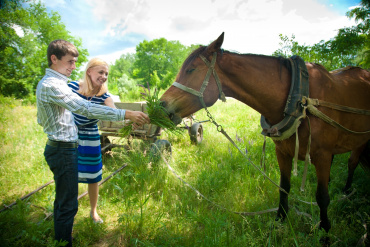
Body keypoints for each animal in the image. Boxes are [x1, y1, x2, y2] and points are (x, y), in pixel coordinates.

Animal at [160, 32, 370, 232]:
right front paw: (280, 221)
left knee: (352, 163)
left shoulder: (323, 156)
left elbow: (322, 197)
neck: (299, 100)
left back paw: (346, 192)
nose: (161, 105)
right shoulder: (283, 152)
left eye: (191, 69)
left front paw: (325, 230)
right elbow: (284, 187)